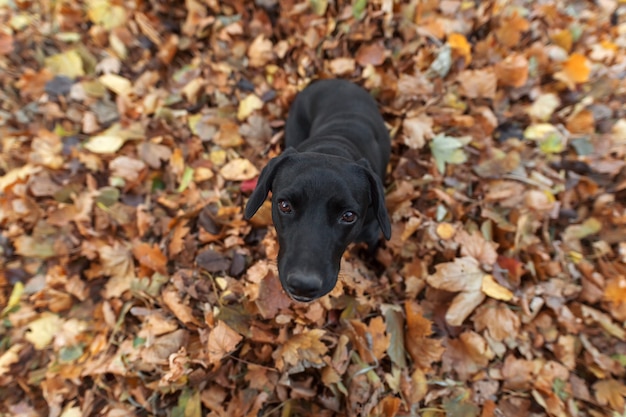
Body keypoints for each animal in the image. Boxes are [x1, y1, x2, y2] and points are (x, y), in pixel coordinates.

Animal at [244, 78, 390, 300]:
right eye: (284, 205)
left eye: (349, 216)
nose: (303, 285)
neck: (332, 147)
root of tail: (332, 80)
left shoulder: (372, 232)